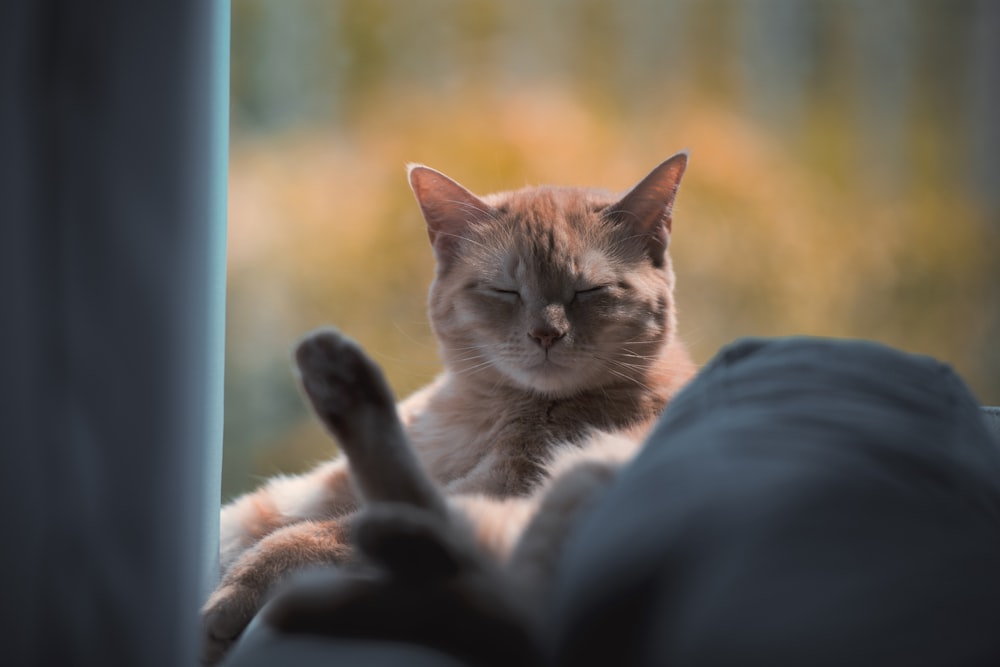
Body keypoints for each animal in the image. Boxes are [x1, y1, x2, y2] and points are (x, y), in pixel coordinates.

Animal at [203, 153, 696, 664]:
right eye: (505, 291)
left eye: (589, 290)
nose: (546, 334)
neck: (480, 408)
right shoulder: (319, 487)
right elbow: (247, 515)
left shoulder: (499, 484)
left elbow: (296, 537)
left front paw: (236, 591)